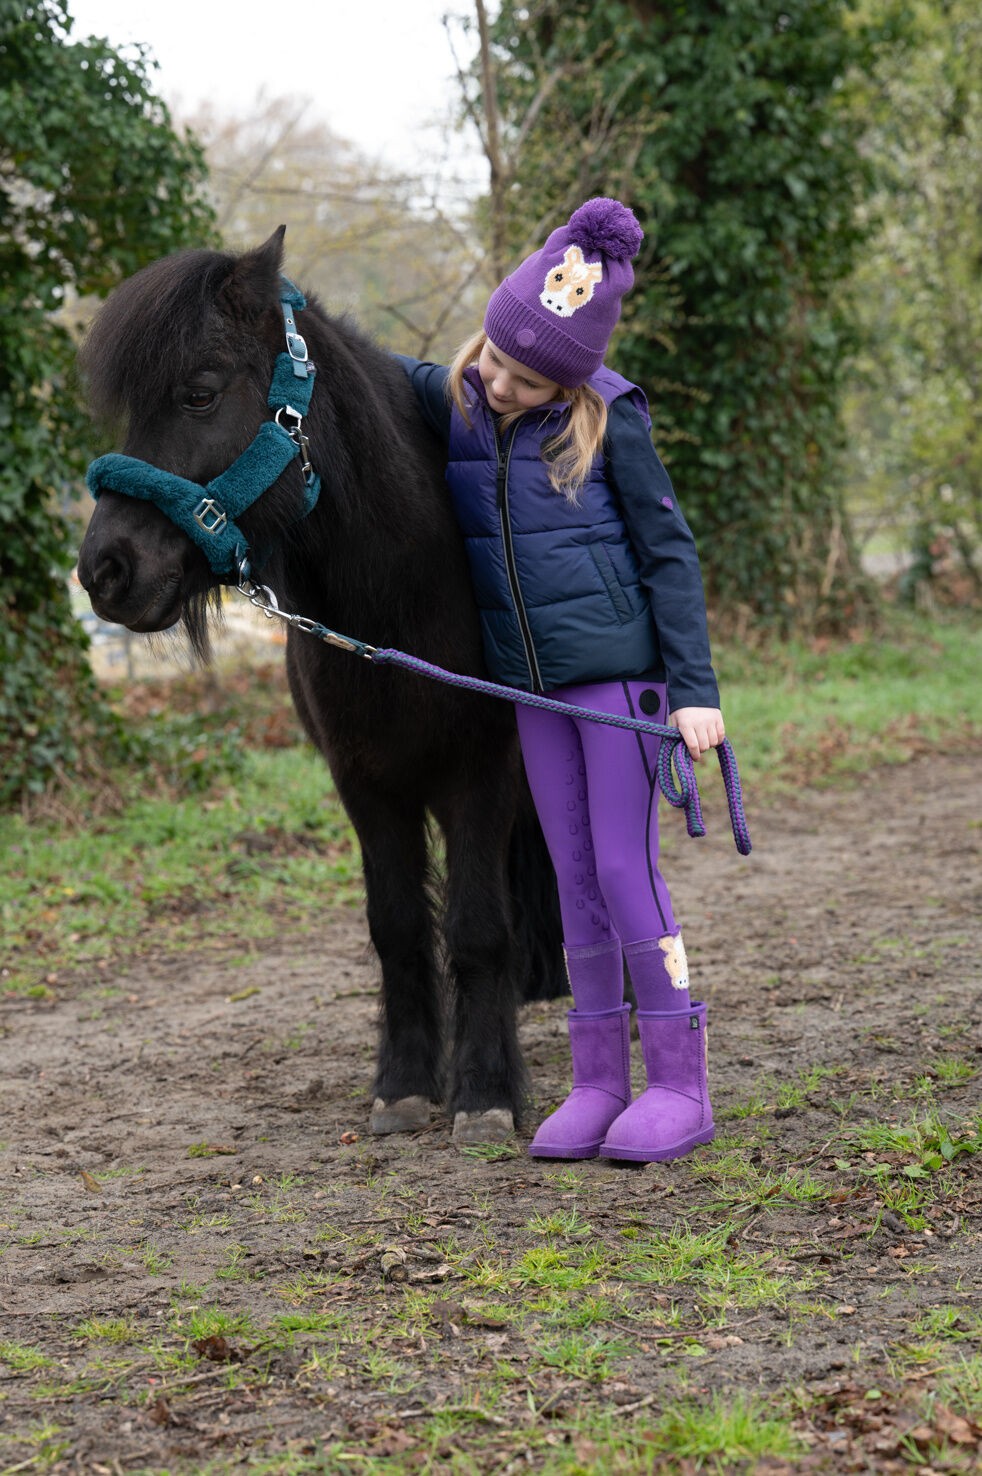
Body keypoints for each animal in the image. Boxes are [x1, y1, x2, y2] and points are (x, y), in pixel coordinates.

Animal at [76, 227, 565, 1147]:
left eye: (199, 393)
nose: (104, 571)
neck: (399, 599)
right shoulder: (364, 783)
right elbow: (398, 928)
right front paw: (405, 1084)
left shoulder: (481, 775)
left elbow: (477, 929)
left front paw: (484, 1090)